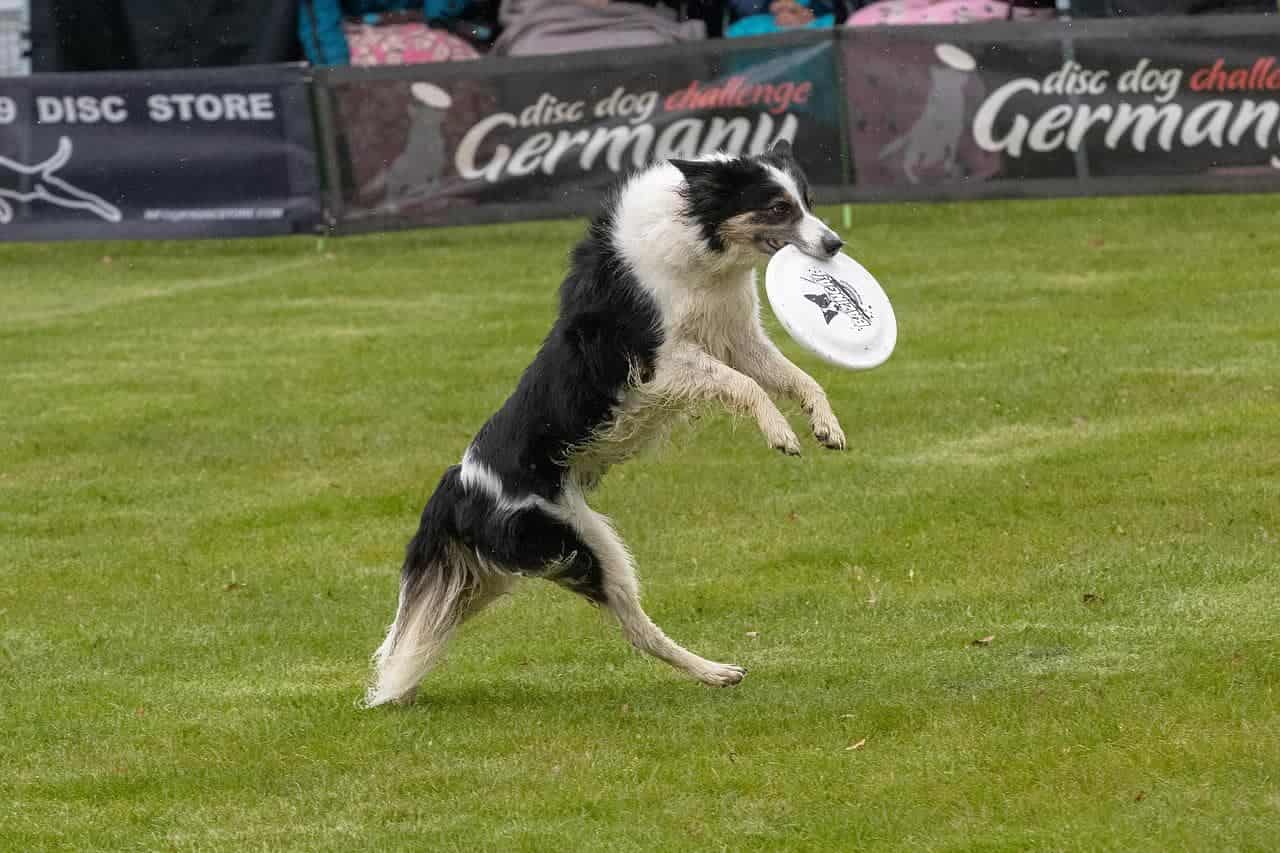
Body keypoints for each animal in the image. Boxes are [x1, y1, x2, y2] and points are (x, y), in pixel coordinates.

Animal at [368, 140, 849, 701]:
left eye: (808, 202)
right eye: (777, 207)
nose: (835, 244)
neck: (698, 242)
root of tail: (460, 484)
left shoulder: (738, 338)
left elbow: (798, 379)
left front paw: (825, 425)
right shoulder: (663, 363)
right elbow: (747, 387)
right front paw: (781, 433)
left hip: (545, 554)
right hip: (580, 546)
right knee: (636, 630)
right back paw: (713, 671)